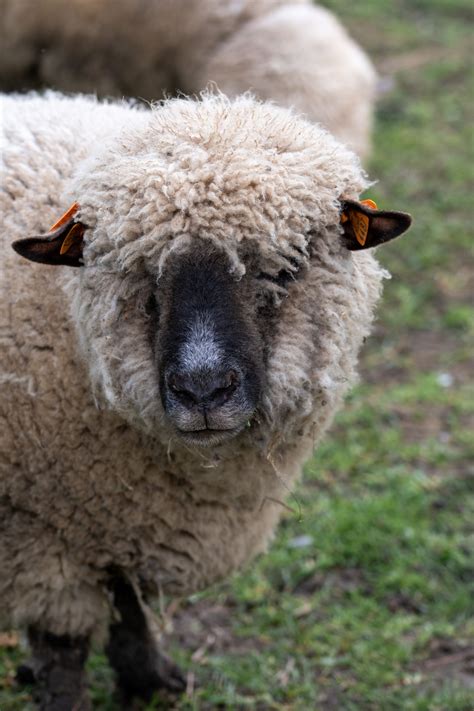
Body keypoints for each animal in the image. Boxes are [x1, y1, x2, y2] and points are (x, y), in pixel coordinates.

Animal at [0, 90, 411, 710]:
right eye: (138, 276)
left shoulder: (118, 515)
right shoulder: (40, 536)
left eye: (286, 268)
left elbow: (126, 602)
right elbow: (63, 649)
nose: (202, 390)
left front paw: (149, 679)